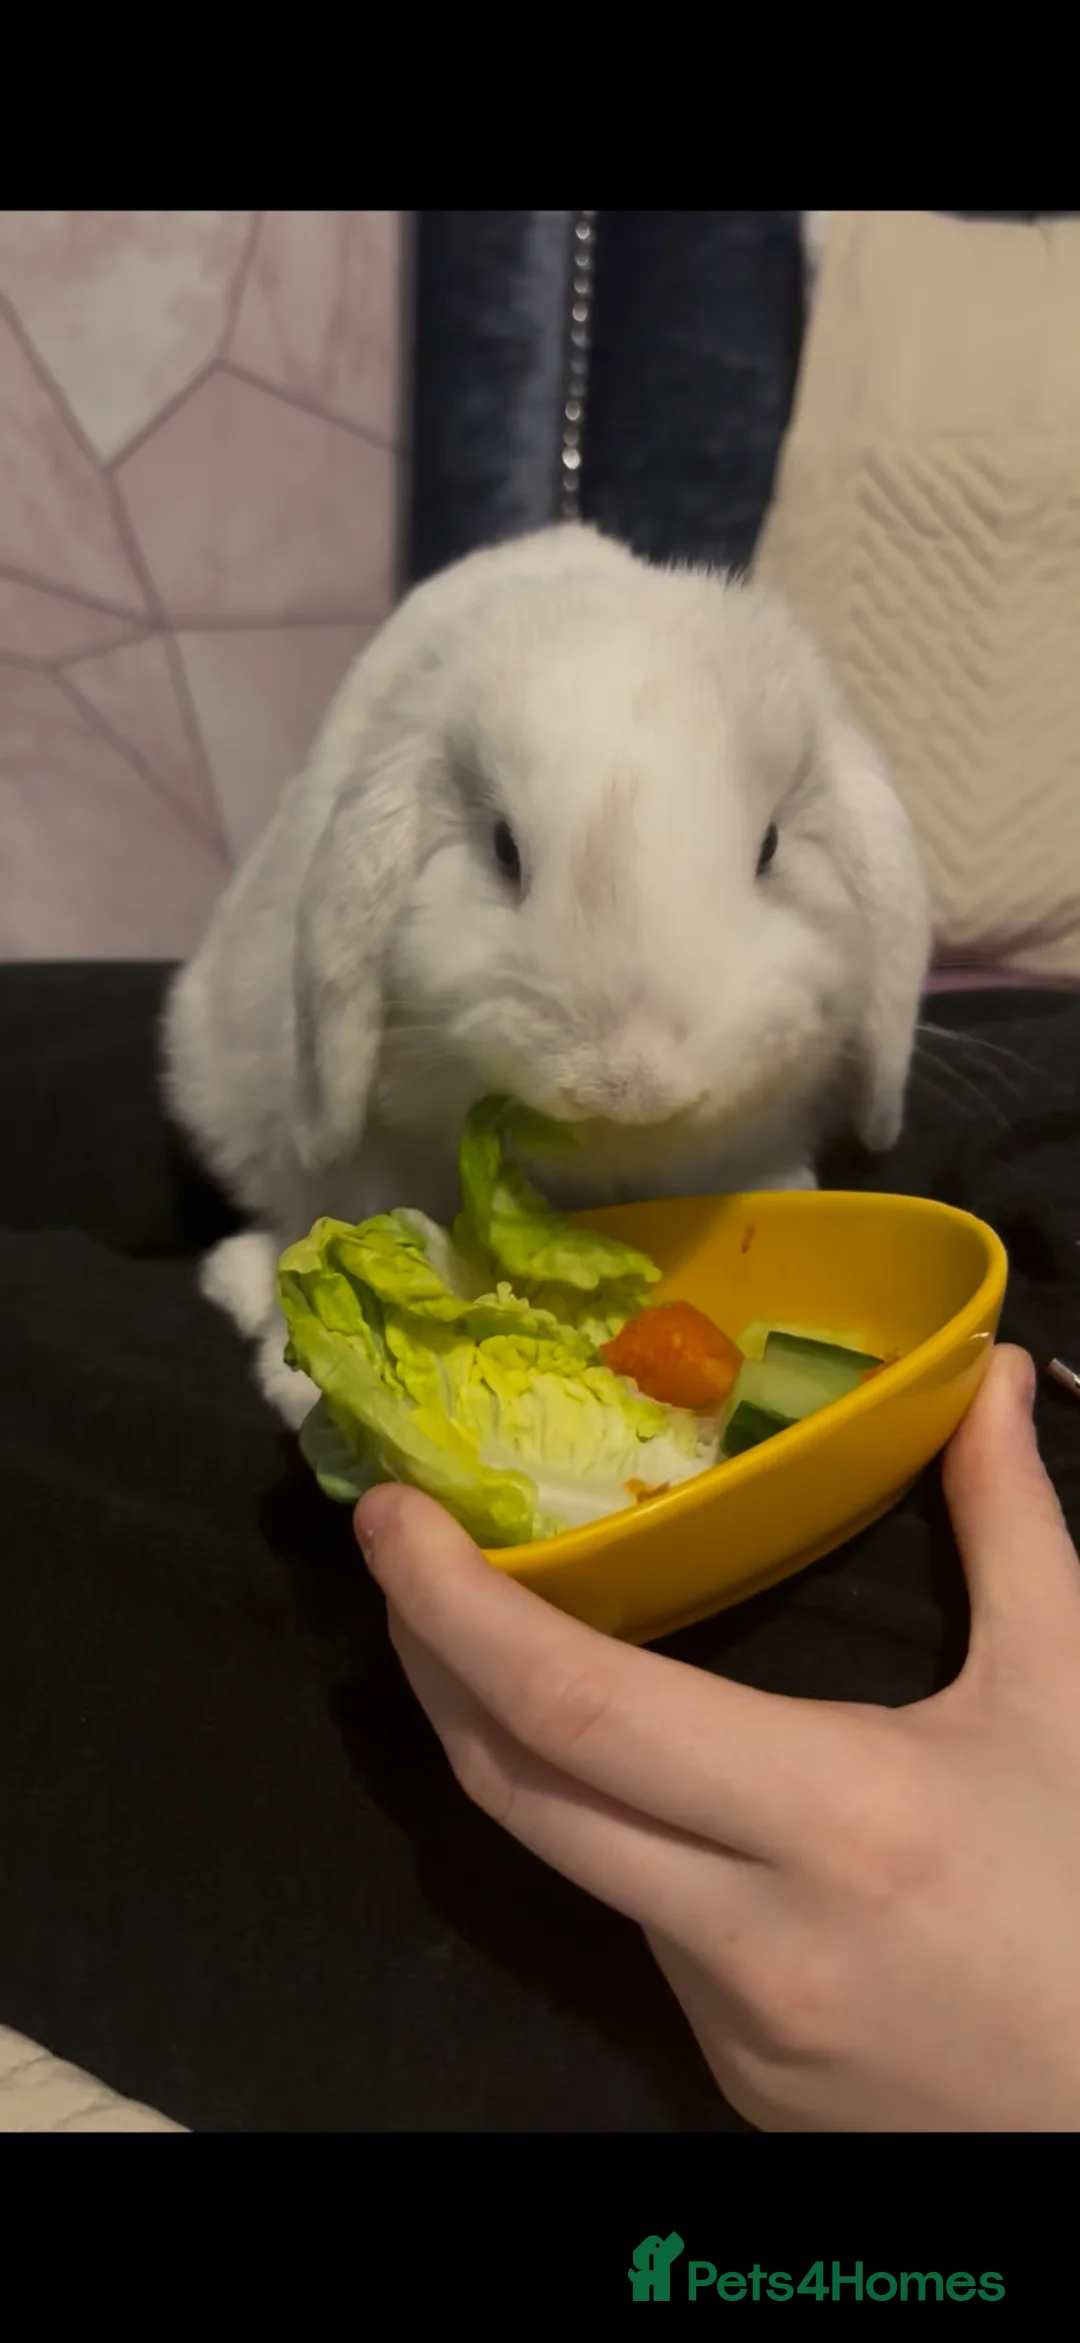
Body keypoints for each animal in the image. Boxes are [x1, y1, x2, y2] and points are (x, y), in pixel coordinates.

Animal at [162, 522, 930, 1430]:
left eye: (770, 848)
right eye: (504, 849)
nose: (634, 1083)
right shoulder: (376, 1154)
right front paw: (304, 1381)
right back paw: (240, 1279)